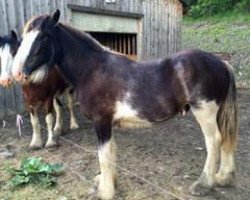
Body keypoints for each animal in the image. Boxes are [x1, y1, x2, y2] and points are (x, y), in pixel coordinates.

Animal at [12, 10, 237, 200]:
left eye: (43, 36)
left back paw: (203, 184)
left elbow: (103, 155)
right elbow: (111, 151)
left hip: (204, 112)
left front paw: (105, 191)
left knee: (213, 141)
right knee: (225, 140)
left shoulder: (101, 122)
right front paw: (108, 181)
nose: (17, 73)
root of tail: (221, 63)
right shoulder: (108, 123)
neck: (93, 70)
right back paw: (223, 177)